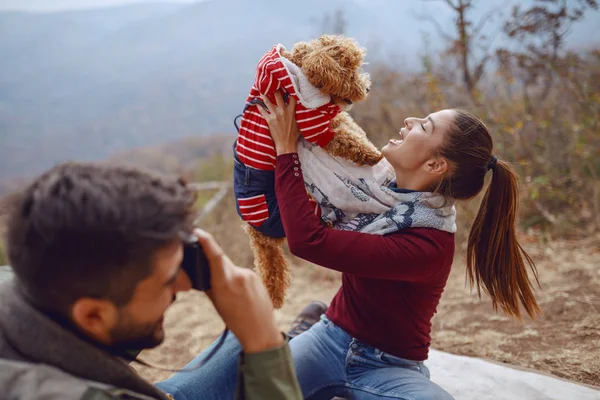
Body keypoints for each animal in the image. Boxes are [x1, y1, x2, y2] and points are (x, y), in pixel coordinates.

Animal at [237, 35, 382, 310]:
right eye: (349, 70)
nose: (368, 89)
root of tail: (256, 236)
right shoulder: (310, 121)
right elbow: (343, 138)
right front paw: (373, 154)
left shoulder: (325, 114)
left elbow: (346, 123)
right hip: (293, 211)